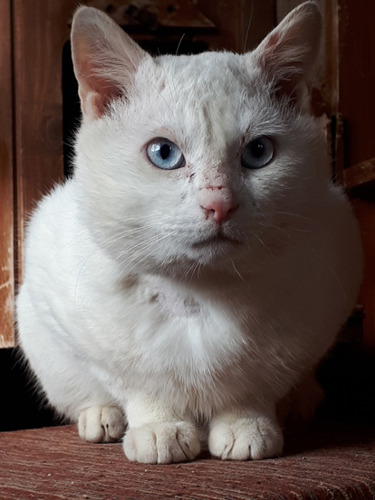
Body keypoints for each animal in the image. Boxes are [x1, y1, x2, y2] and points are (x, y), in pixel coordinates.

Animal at [16, 2, 362, 464]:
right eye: (164, 153)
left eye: (259, 152)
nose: (220, 205)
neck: (199, 295)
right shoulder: (69, 311)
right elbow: (139, 384)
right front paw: (158, 428)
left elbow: (254, 384)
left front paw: (246, 426)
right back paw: (102, 418)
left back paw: (298, 404)